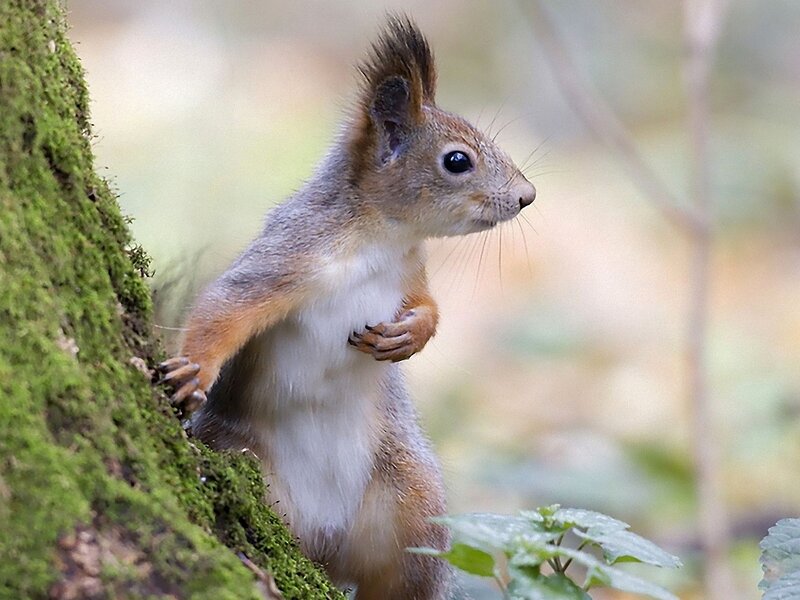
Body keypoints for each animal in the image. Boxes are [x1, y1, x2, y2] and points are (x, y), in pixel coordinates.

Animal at [158, 15, 535, 600]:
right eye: (457, 160)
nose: (527, 196)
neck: (379, 240)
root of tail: (326, 544)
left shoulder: (411, 272)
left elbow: (428, 307)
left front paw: (408, 336)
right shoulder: (288, 257)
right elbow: (227, 305)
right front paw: (193, 371)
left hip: (412, 501)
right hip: (242, 457)